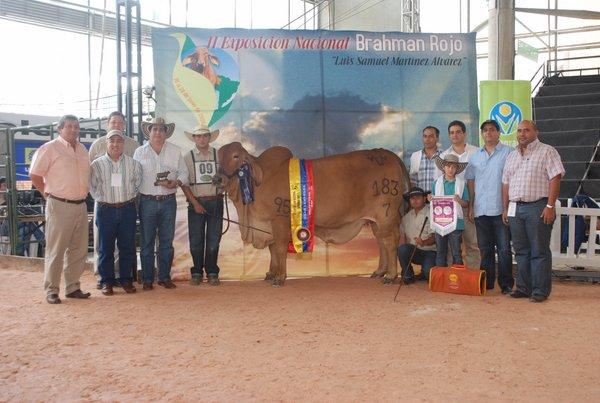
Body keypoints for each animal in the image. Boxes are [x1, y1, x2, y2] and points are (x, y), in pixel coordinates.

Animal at [216, 142, 412, 288]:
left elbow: (278, 249)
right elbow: (272, 250)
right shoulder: (268, 225)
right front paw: (271, 273)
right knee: (381, 242)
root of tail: (387, 153)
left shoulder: (279, 220)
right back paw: (380, 271)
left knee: (390, 242)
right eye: (218, 156)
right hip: (375, 222)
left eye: (236, 156)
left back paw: (391, 276)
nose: (217, 179)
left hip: (386, 214)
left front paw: (280, 277)